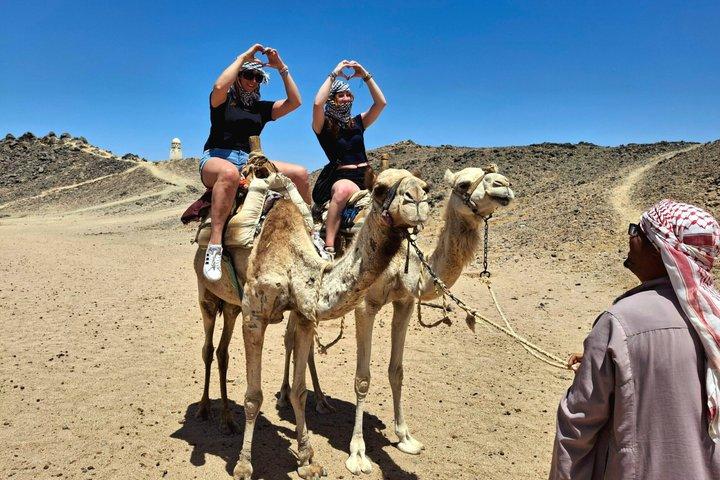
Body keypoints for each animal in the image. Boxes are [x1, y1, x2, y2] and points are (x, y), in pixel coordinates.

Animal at [193, 166, 429, 480]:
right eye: (379, 188)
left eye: (425, 186)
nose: (417, 198)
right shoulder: (254, 316)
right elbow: (253, 396)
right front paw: (243, 465)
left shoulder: (304, 316)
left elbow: (299, 391)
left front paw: (306, 459)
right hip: (206, 294)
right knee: (208, 349)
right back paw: (204, 410)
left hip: (231, 304)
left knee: (222, 351)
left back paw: (227, 421)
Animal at [277, 165, 515, 475]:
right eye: (464, 183)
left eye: (426, 188)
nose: (504, 185)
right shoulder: (365, 306)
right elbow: (362, 379)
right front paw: (358, 454)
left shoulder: (405, 303)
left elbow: (397, 371)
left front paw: (405, 437)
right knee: (289, 339)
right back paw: (284, 395)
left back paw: (322, 401)